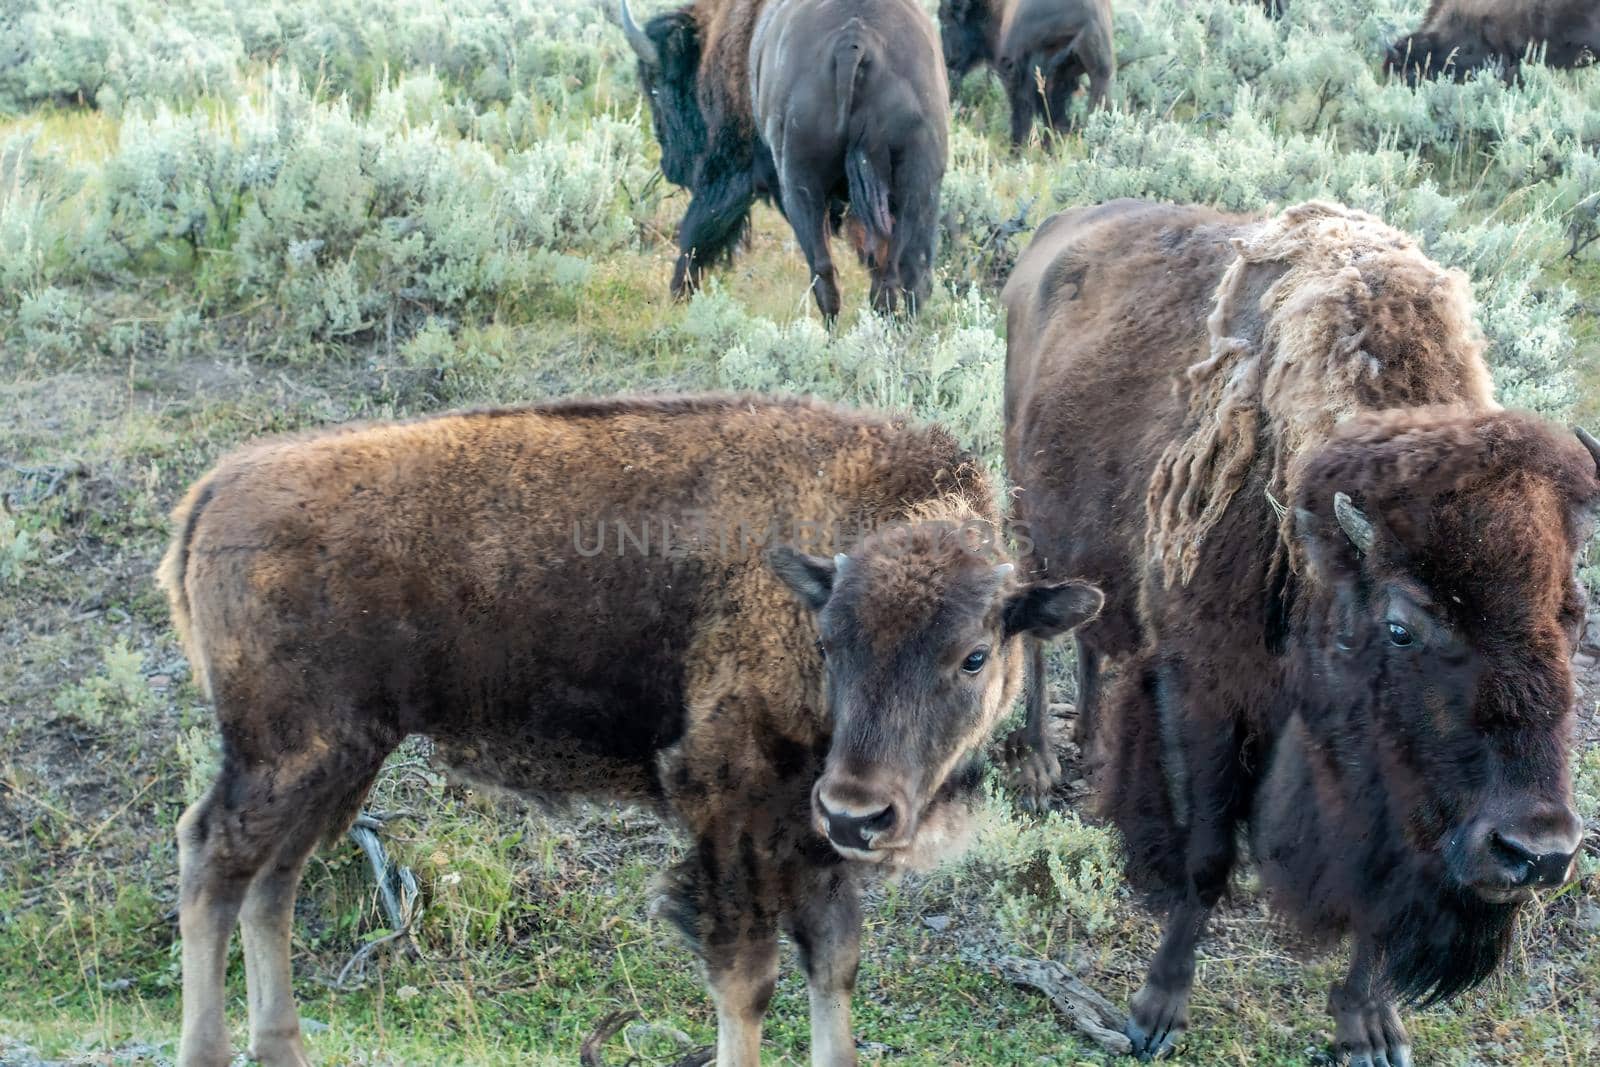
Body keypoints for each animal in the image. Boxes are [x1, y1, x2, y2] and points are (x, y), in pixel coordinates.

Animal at [165, 395, 1113, 1067]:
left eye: (975, 654)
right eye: (831, 641)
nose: (862, 812)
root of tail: (215, 487)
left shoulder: (806, 834)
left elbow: (834, 964)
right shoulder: (728, 808)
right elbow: (748, 979)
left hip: (338, 758)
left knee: (272, 882)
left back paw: (283, 1049)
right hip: (284, 753)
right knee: (212, 858)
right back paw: (209, 1051)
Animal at [620, 0, 947, 316]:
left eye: (656, 87)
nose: (670, 165)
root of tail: (854, 42)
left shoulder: (734, 172)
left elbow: (698, 231)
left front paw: (679, 293)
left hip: (801, 188)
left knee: (825, 272)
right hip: (918, 185)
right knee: (906, 271)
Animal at [1004, 198, 1593, 1062]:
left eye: (1573, 614)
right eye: (1401, 626)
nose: (1537, 852)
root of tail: (1055, 231)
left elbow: (1372, 897)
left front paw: (1370, 1025)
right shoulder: (1211, 691)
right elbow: (1208, 854)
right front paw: (1155, 1011)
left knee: (1090, 636)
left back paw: (1088, 747)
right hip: (1027, 520)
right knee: (1035, 630)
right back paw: (1043, 761)